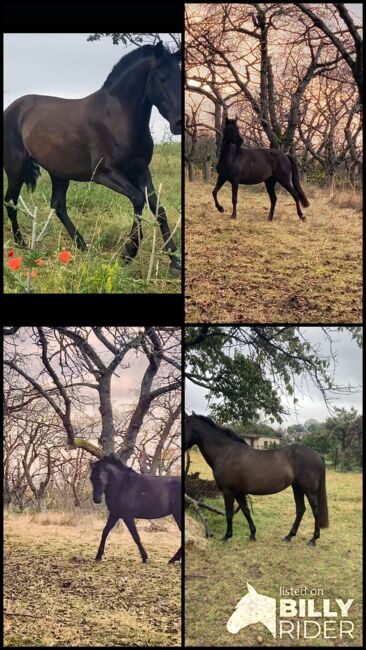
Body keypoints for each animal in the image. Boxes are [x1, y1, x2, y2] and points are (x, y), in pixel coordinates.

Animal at [4, 40, 182, 274]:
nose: (179, 123)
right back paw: (21, 243)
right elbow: (138, 199)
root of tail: (12, 109)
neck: (118, 116)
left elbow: (158, 208)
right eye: (162, 79)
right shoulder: (104, 173)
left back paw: (82, 246)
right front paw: (128, 253)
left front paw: (175, 261)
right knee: (11, 202)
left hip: (59, 172)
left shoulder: (141, 170)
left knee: (58, 205)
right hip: (15, 169)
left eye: (179, 77)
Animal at [184, 412, 330, 544]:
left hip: (309, 490)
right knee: (300, 510)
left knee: (315, 510)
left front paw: (226, 537)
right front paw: (252, 534)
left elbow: (229, 513)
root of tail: (317, 455)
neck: (227, 453)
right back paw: (289, 536)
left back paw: (313, 539)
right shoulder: (238, 492)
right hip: (297, 487)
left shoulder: (228, 491)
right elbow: (246, 511)